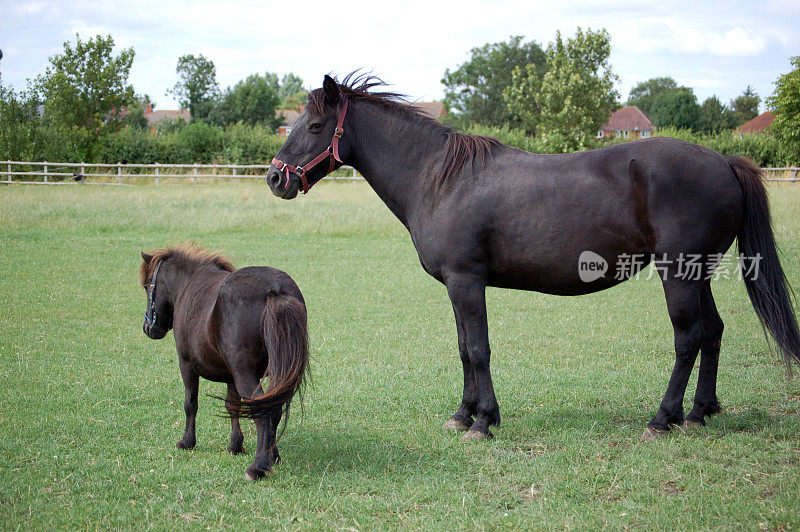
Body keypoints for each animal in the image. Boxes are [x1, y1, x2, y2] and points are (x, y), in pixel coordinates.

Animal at [139, 245, 308, 482]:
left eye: (148, 286)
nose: (149, 328)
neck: (188, 284)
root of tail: (275, 290)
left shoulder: (186, 364)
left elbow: (190, 403)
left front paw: (187, 442)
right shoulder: (231, 375)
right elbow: (232, 406)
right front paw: (235, 445)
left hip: (245, 373)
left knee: (263, 413)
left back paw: (257, 467)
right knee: (273, 408)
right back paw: (271, 456)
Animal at [268, 74, 800, 440]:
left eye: (314, 125)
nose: (276, 178)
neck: (440, 178)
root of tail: (723, 161)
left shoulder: (467, 281)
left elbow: (479, 349)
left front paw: (483, 422)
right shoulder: (456, 287)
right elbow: (463, 348)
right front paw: (463, 416)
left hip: (679, 275)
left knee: (688, 339)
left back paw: (662, 418)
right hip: (698, 273)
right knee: (713, 332)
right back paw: (699, 412)